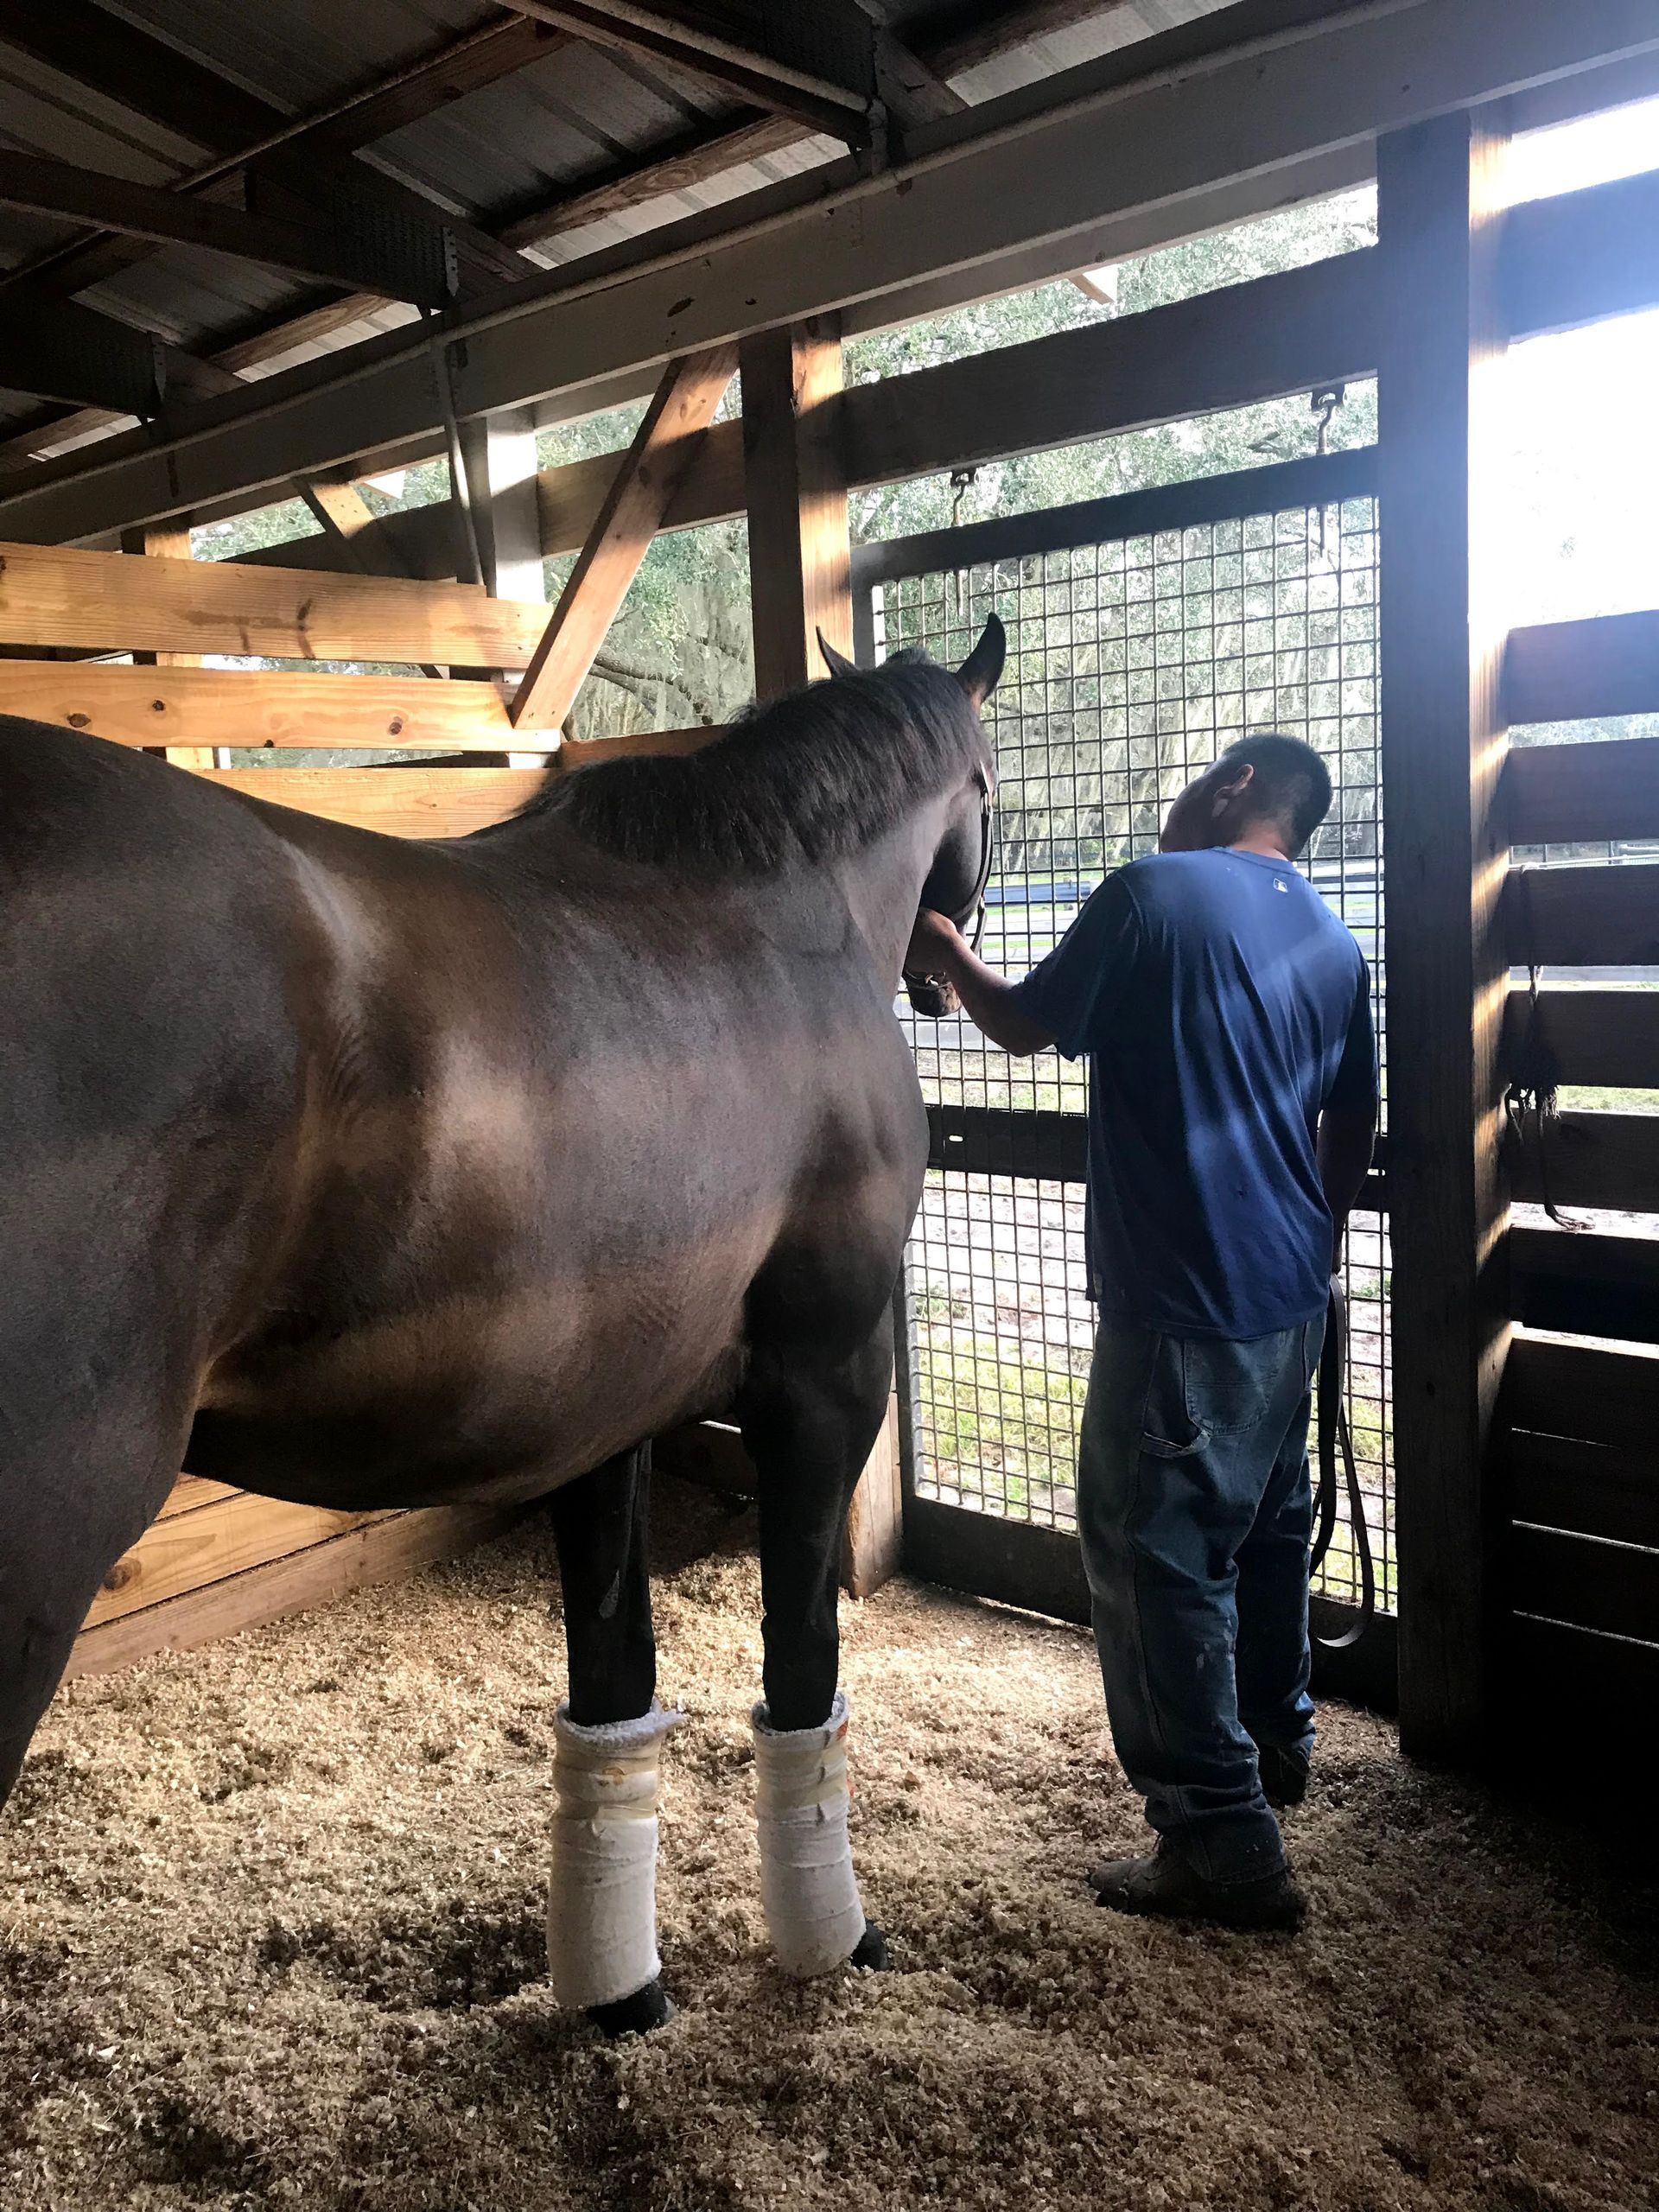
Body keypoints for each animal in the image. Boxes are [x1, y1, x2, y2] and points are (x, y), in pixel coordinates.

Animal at [0, 614, 1004, 2033]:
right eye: (991, 791)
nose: (945, 969)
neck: (780, 914)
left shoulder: (605, 1402)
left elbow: (615, 1680)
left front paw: (622, 1999)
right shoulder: (827, 1373)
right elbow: (802, 1654)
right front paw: (834, 1946)